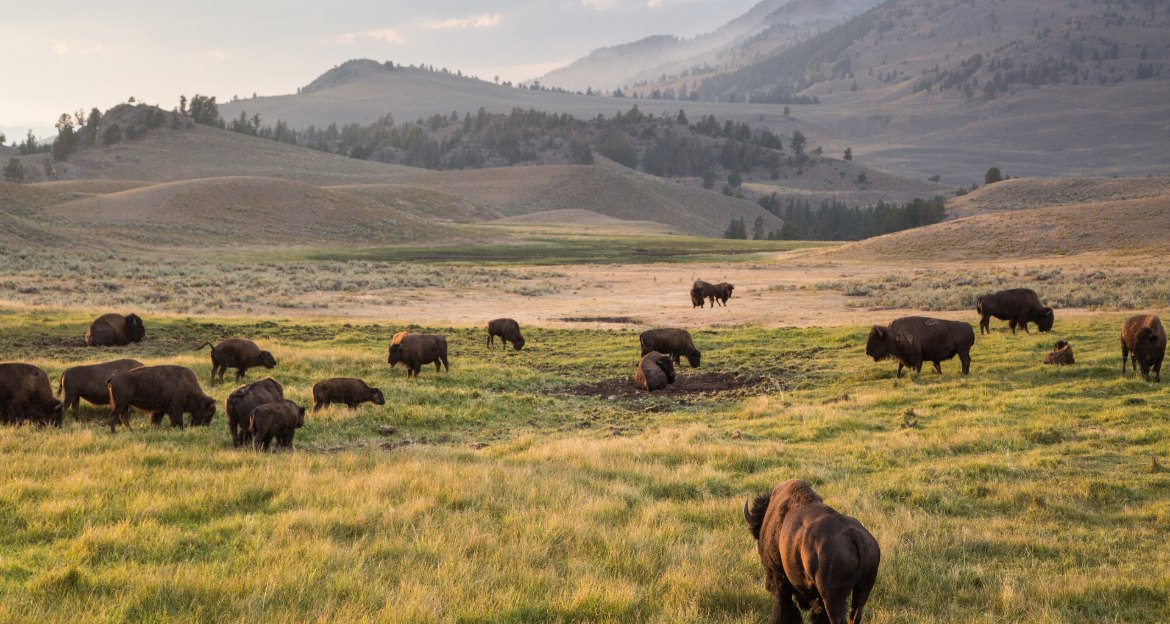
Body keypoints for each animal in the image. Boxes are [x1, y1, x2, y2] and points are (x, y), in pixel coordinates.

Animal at [745, 479, 880, 624]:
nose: (767, 585)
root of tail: (855, 536)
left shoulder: (780, 580)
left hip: (832, 598)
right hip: (863, 590)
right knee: (855, 615)